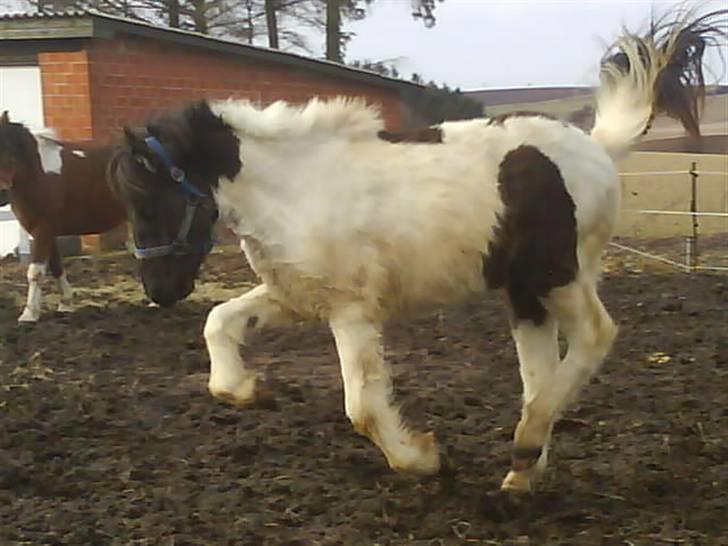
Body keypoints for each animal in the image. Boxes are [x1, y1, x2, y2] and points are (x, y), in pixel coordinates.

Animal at [0, 112, 126, 320]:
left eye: (10, 153)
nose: (2, 194)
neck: (38, 173)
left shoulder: (43, 229)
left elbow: (35, 272)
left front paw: (29, 314)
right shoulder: (46, 232)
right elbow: (56, 266)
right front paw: (65, 303)